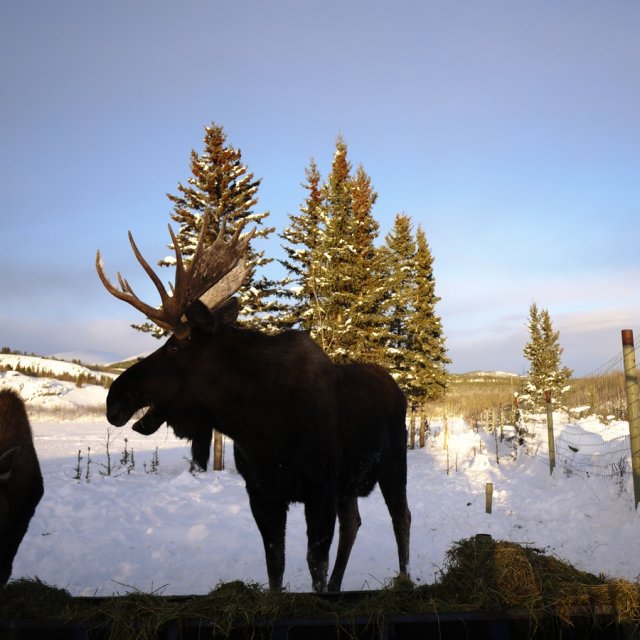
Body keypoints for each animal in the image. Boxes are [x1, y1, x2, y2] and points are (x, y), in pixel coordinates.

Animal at [97, 214, 412, 592]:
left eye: (174, 347)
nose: (114, 397)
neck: (258, 424)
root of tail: (400, 392)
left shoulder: (320, 490)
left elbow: (314, 566)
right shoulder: (262, 493)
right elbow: (275, 564)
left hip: (394, 464)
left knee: (401, 518)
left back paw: (404, 579)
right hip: (349, 484)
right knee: (354, 522)